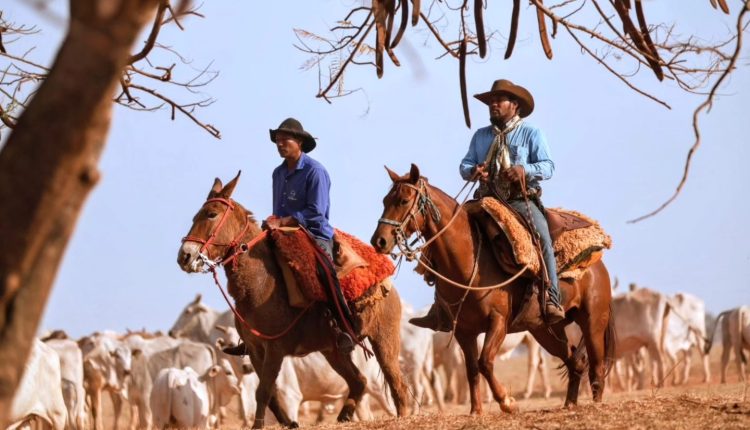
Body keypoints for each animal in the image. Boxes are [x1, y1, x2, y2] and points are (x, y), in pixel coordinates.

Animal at [177, 173, 412, 428]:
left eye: (211, 214)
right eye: (195, 216)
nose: (185, 256)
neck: (260, 283)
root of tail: (387, 281)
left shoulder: (275, 349)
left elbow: (264, 391)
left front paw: (261, 425)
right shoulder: (255, 350)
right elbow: (270, 395)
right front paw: (289, 422)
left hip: (384, 338)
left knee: (396, 383)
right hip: (333, 351)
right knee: (359, 381)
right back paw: (343, 416)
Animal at [372, 164, 616, 414]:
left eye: (403, 200)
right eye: (385, 200)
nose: (379, 241)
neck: (469, 260)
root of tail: (598, 263)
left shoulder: (498, 321)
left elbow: (485, 362)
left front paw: (507, 402)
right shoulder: (464, 331)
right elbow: (472, 369)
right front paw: (476, 411)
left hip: (593, 320)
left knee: (596, 365)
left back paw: (595, 404)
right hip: (545, 330)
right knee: (575, 361)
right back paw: (569, 404)